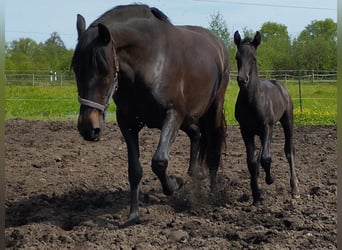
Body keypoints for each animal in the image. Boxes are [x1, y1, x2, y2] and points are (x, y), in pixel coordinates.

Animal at [71, 4, 228, 226]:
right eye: (76, 67)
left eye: (104, 69)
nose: (88, 127)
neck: (150, 61)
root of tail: (218, 44)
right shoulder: (127, 122)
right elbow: (135, 170)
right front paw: (133, 215)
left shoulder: (173, 114)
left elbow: (159, 162)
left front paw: (175, 184)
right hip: (188, 117)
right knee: (196, 134)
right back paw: (194, 173)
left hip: (212, 108)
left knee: (213, 147)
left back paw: (213, 193)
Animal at [234, 29, 298, 205]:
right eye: (237, 57)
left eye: (254, 57)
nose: (242, 79)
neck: (252, 100)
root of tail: (280, 85)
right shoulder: (245, 130)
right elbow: (251, 162)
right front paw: (256, 196)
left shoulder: (267, 126)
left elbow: (266, 158)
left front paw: (270, 179)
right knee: (258, 157)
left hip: (287, 121)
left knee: (288, 151)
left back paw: (295, 188)